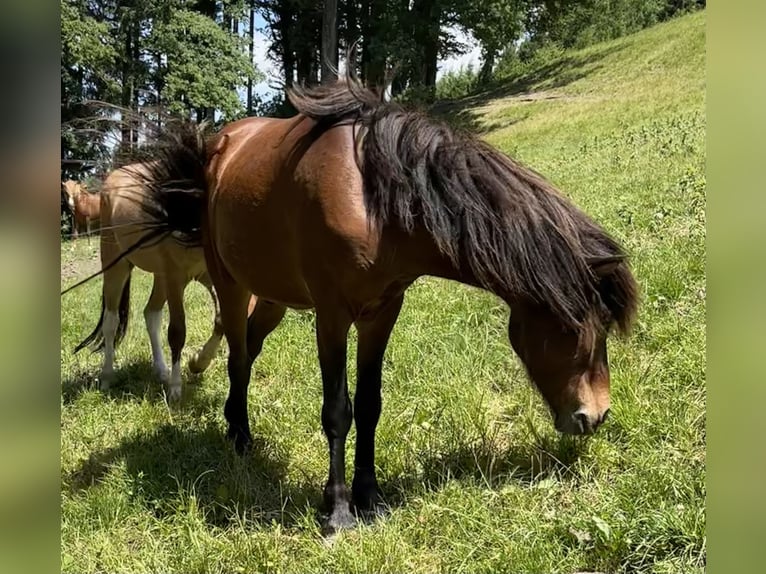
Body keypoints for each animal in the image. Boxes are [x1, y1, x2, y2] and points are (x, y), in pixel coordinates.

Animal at [136, 79, 640, 532]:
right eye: (575, 328)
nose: (595, 415)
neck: (373, 201)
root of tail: (218, 150)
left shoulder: (382, 313)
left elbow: (370, 404)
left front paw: (371, 498)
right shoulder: (332, 317)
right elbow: (338, 410)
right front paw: (338, 510)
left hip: (274, 297)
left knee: (249, 351)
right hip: (232, 284)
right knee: (238, 357)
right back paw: (240, 436)